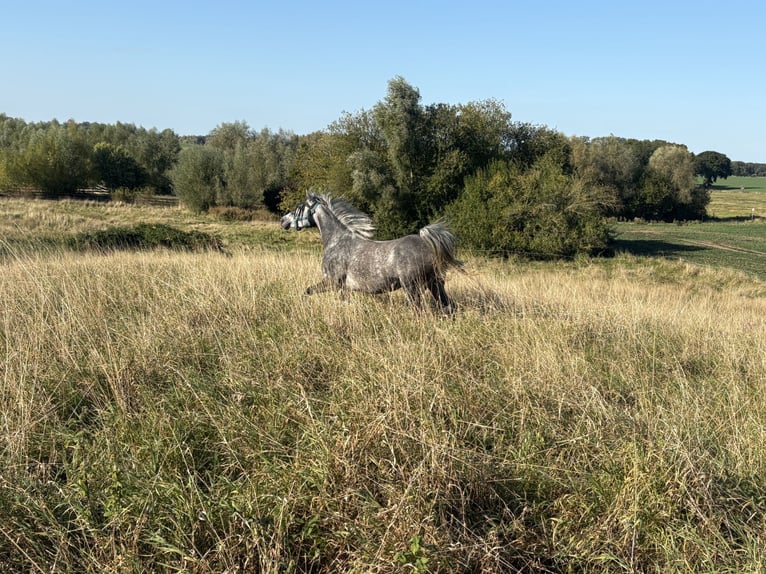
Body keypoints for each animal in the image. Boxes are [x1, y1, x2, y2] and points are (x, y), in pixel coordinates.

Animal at [281, 191, 463, 313]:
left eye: (299, 207)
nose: (283, 220)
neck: (336, 240)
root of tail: (427, 243)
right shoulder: (343, 288)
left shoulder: (332, 282)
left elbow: (307, 292)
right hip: (435, 284)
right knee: (448, 307)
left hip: (412, 287)